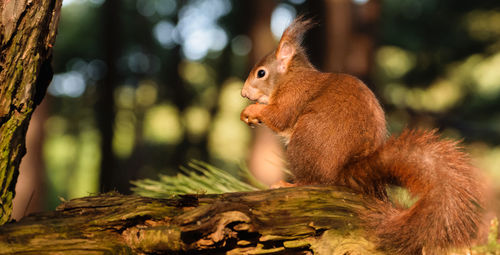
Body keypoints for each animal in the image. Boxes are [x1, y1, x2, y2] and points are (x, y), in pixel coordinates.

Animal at [240, 16, 482, 254]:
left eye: (261, 73)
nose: (243, 94)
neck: (289, 78)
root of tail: (340, 174)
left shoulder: (293, 97)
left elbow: (279, 117)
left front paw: (252, 111)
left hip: (304, 142)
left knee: (313, 181)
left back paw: (288, 185)